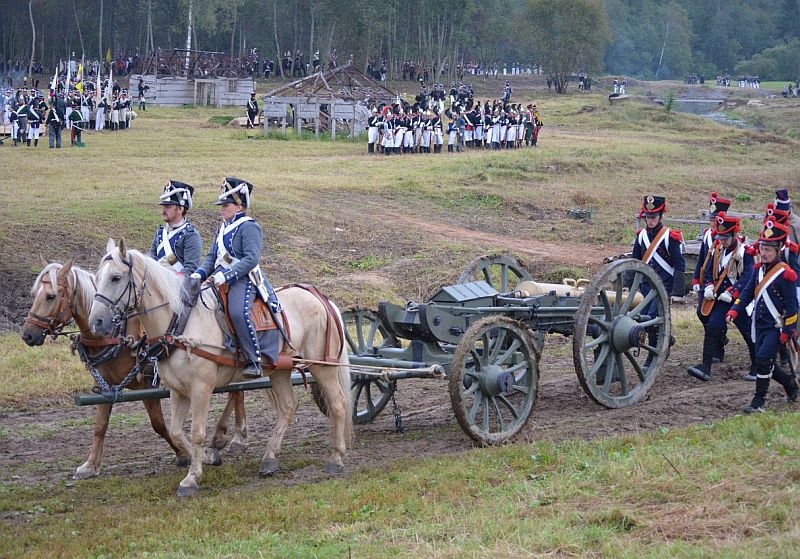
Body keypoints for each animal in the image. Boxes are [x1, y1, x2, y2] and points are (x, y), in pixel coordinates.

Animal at [22, 260, 247, 482]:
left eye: (51, 296)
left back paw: (229, 437)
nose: (27, 335)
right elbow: (100, 426)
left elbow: (158, 424)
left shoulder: (147, 384)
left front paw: (183, 454)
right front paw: (91, 465)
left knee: (236, 392)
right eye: (34, 294)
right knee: (237, 391)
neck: (116, 335)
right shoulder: (105, 386)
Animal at [88, 241, 354, 498]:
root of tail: (320, 298)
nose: (95, 322)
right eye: (97, 277)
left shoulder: (201, 389)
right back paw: (270, 458)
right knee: (288, 407)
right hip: (280, 370)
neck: (180, 322)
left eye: (116, 277)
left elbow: (197, 432)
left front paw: (192, 479)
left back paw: (336, 457)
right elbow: (176, 431)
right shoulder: (178, 391)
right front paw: (209, 457)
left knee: (338, 404)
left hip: (322, 366)